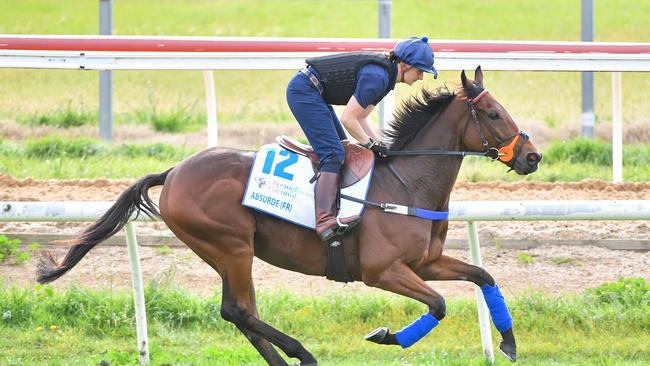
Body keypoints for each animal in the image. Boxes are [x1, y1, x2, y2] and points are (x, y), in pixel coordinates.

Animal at [36, 67, 540, 364]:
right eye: (494, 113)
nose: (532, 156)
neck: (406, 184)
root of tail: (174, 171)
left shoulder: (425, 262)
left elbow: (484, 276)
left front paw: (509, 342)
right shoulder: (382, 271)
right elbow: (437, 305)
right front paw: (385, 336)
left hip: (225, 253)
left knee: (239, 313)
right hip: (231, 246)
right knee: (238, 310)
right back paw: (302, 353)